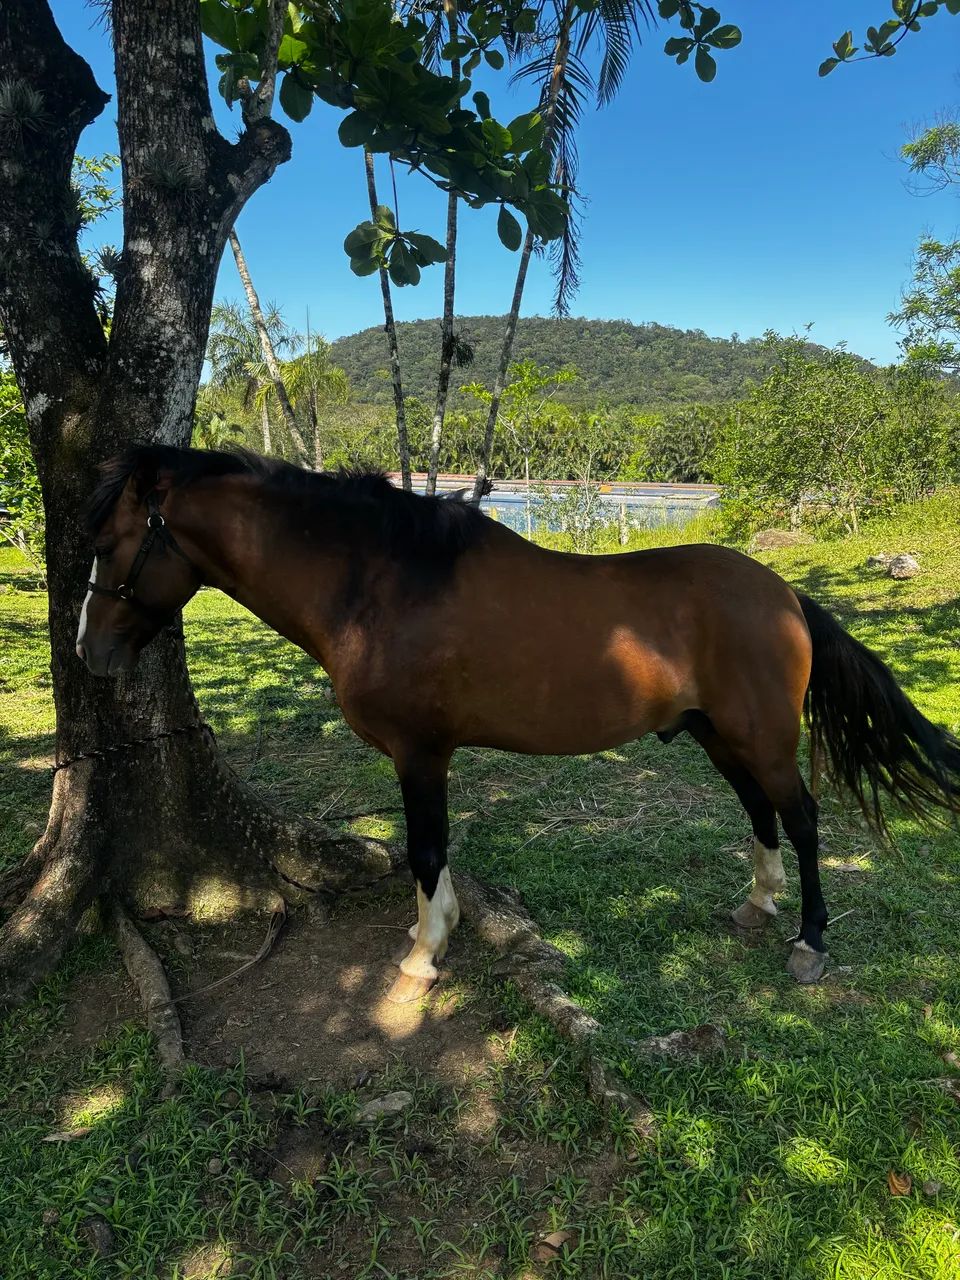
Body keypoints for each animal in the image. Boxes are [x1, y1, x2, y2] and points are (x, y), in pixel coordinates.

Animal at [77, 445, 960, 1003]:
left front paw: (423, 957)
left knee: (803, 818)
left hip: (763, 737)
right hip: (718, 735)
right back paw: (757, 905)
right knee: (760, 812)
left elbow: (426, 849)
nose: (90, 651)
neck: (381, 583)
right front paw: (432, 933)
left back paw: (810, 942)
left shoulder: (420, 753)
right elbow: (430, 852)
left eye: (112, 543)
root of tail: (785, 596)